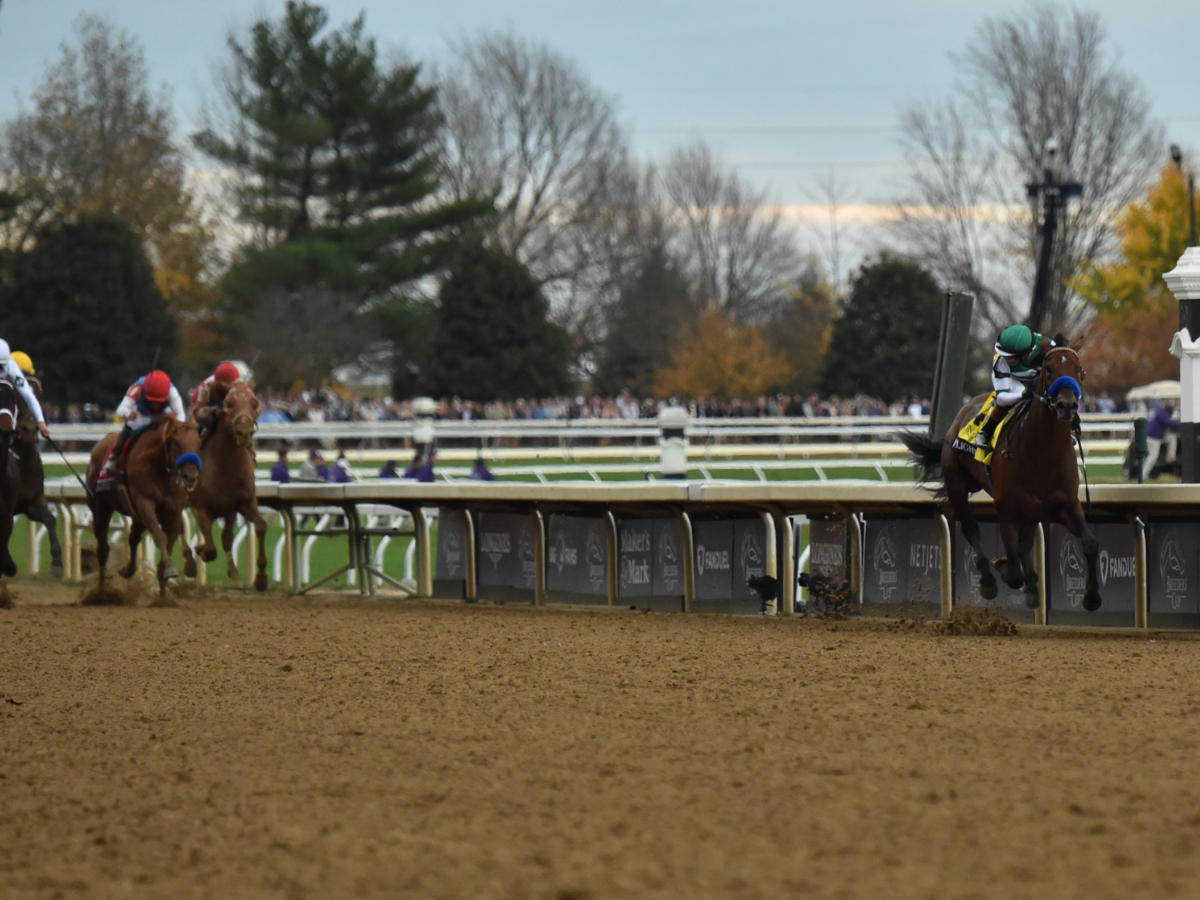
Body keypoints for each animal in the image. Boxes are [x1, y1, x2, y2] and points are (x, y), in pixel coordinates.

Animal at [85, 420, 202, 602]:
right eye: (176, 443)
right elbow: (160, 536)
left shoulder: (173, 512)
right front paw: (170, 569)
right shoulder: (144, 503)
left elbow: (169, 541)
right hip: (100, 508)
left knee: (133, 538)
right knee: (103, 549)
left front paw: (163, 597)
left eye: (198, 443)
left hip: (136, 516)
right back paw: (100, 594)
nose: (190, 476)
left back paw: (127, 570)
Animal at [186, 381, 268, 592]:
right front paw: (200, 550)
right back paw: (189, 564)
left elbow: (260, 526)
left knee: (226, 538)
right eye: (229, 404)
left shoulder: (243, 505)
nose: (244, 432)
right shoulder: (202, 508)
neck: (225, 467)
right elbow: (210, 548)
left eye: (254, 402)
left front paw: (260, 578)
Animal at [902, 343, 1099, 614]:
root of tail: (963, 411)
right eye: (1049, 369)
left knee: (1025, 544)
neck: (1042, 452)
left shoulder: (1065, 505)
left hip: (1032, 508)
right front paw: (1004, 567)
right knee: (971, 530)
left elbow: (1089, 543)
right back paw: (988, 578)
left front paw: (1091, 596)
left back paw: (1032, 585)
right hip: (957, 485)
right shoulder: (1009, 511)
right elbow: (1013, 573)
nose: (1066, 405)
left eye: (1080, 371)